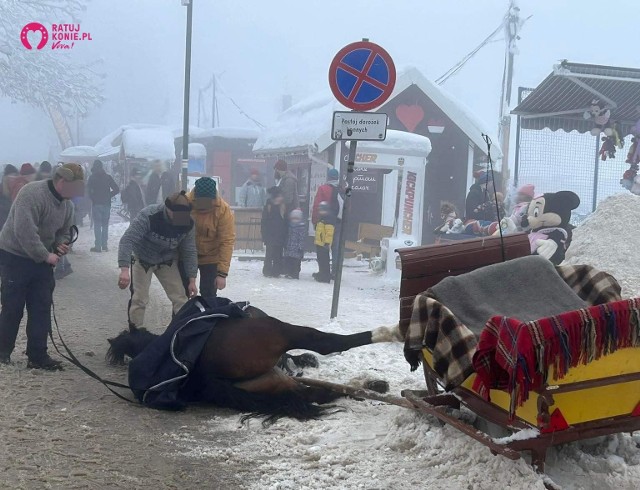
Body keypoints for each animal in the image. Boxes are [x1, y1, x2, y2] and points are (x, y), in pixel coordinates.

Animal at [108, 294, 400, 424]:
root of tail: (207, 374)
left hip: (273, 382)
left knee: (318, 392)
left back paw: (374, 386)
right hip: (279, 332)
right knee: (327, 344)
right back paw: (393, 332)